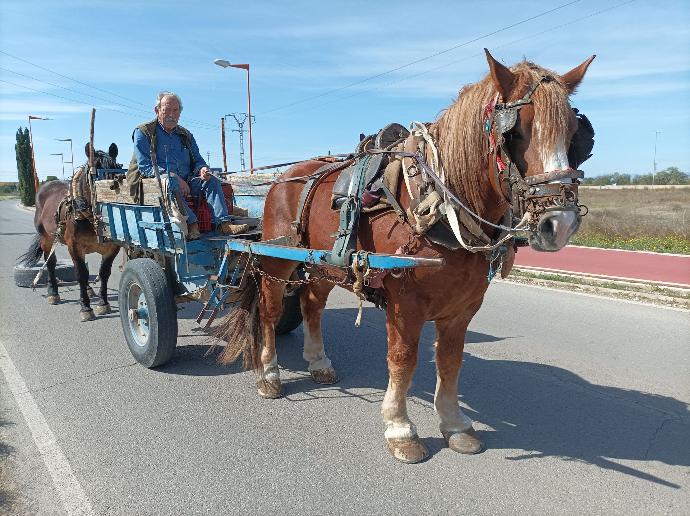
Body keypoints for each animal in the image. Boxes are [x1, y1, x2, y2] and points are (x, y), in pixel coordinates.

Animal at [18, 143, 122, 322]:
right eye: (93, 175)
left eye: (117, 170)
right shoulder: (74, 245)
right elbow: (81, 274)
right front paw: (85, 307)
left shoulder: (112, 248)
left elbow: (103, 273)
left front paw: (103, 303)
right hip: (47, 238)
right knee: (51, 263)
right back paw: (53, 292)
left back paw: (88, 290)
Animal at [214, 49, 595, 463]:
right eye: (515, 133)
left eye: (576, 136)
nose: (559, 223)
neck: (439, 204)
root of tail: (285, 177)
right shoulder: (404, 303)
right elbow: (403, 358)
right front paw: (400, 429)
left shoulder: (463, 306)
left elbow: (450, 360)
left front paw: (455, 424)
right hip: (276, 260)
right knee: (269, 311)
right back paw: (269, 375)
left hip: (325, 265)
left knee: (311, 304)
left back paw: (318, 361)